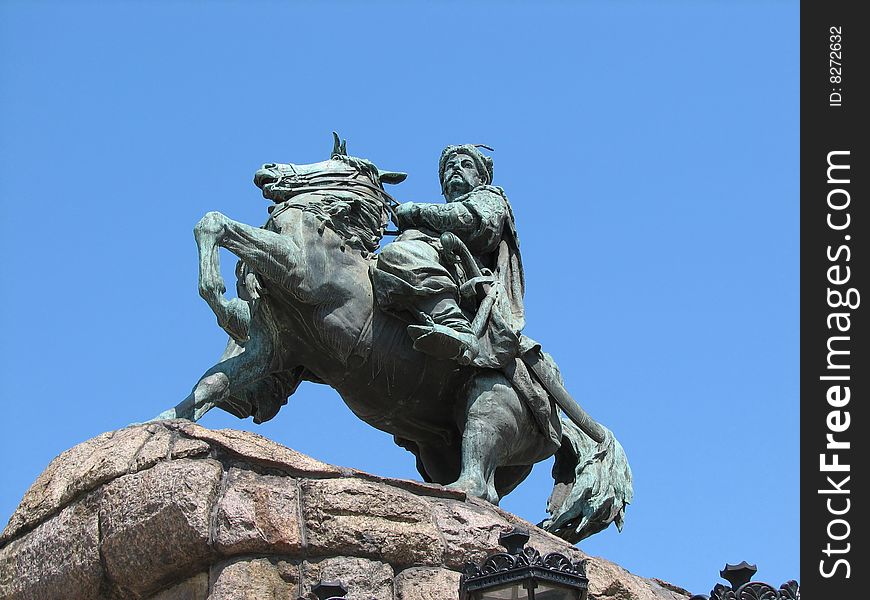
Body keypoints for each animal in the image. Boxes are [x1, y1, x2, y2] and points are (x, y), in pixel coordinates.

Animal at [155, 137, 632, 544]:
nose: (268, 169)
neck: (329, 234)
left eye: (340, 163)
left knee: (481, 486)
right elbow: (214, 382)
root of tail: (559, 418)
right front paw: (168, 420)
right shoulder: (271, 347)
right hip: (439, 451)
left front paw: (215, 291)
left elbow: (217, 223)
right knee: (489, 488)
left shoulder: (297, 271)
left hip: (491, 403)